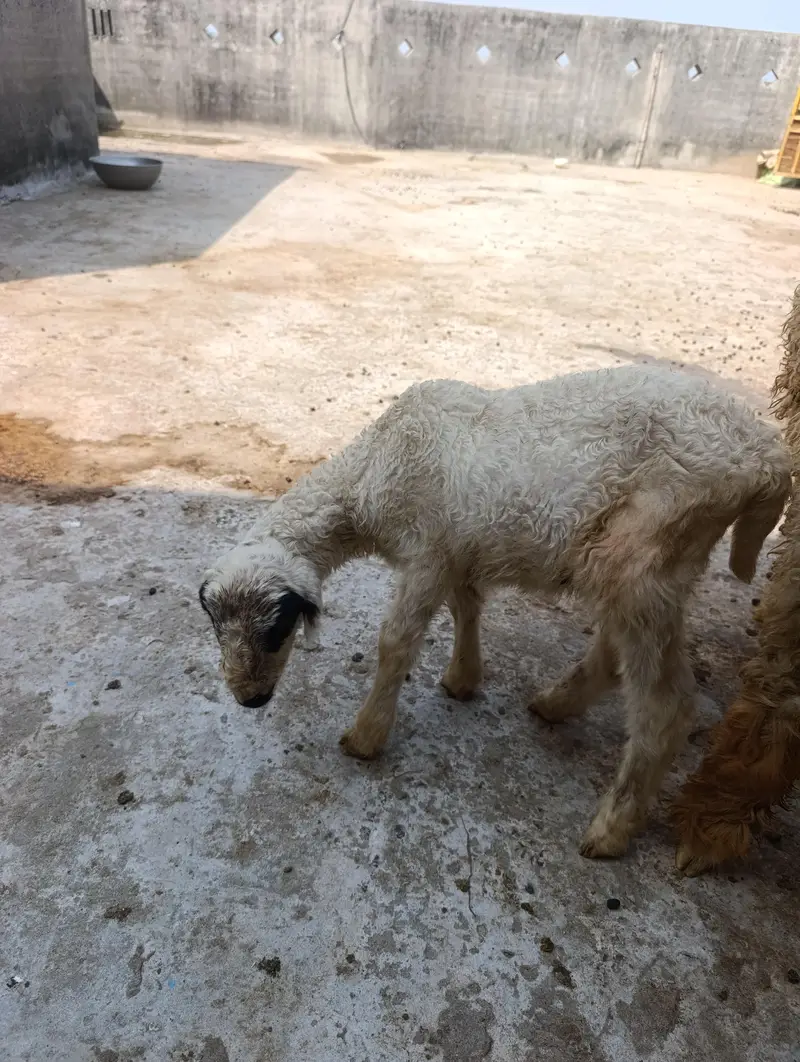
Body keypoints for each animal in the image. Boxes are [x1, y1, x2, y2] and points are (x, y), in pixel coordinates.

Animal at [200, 364, 790, 858]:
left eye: (276, 627)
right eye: (215, 626)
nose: (251, 700)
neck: (372, 470)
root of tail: (766, 456)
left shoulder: (428, 551)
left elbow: (395, 643)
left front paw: (366, 737)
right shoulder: (457, 550)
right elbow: (468, 607)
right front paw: (463, 678)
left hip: (654, 540)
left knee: (666, 705)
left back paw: (611, 831)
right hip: (650, 560)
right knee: (615, 652)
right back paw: (555, 704)